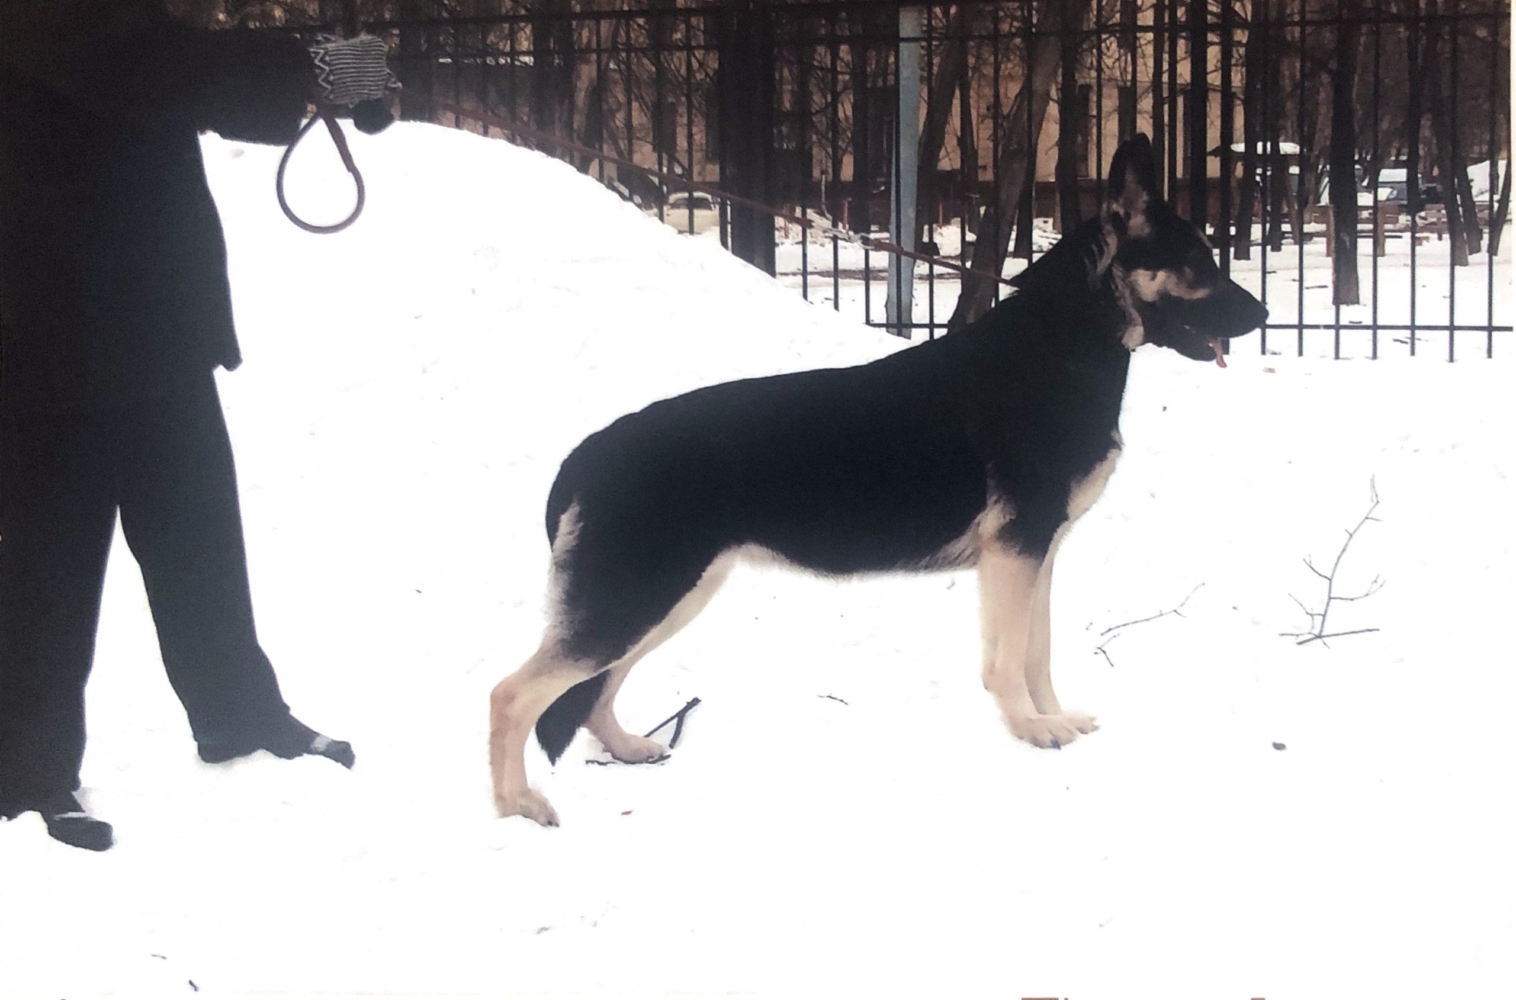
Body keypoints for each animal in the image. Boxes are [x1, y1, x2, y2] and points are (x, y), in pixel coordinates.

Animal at [489, 134, 1268, 825]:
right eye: (1197, 262)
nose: (1262, 314)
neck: (1069, 341)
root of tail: (586, 454)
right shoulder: (1017, 554)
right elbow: (1008, 659)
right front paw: (1030, 729)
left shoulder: (1039, 554)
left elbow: (1038, 652)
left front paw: (1053, 719)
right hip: (638, 598)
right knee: (512, 695)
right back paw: (517, 806)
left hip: (672, 597)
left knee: (594, 690)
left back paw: (626, 748)